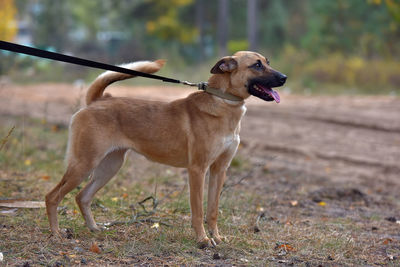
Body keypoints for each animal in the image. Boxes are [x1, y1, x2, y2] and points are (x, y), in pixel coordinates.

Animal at [45, 50, 286, 249]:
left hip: (109, 167)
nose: (284, 77)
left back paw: (94, 228)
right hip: (83, 165)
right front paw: (202, 240)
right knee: (52, 196)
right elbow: (198, 211)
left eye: (267, 62)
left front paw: (216, 237)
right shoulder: (197, 170)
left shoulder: (219, 170)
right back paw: (56, 233)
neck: (223, 103)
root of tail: (97, 101)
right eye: (256, 65)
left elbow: (213, 210)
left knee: (82, 197)